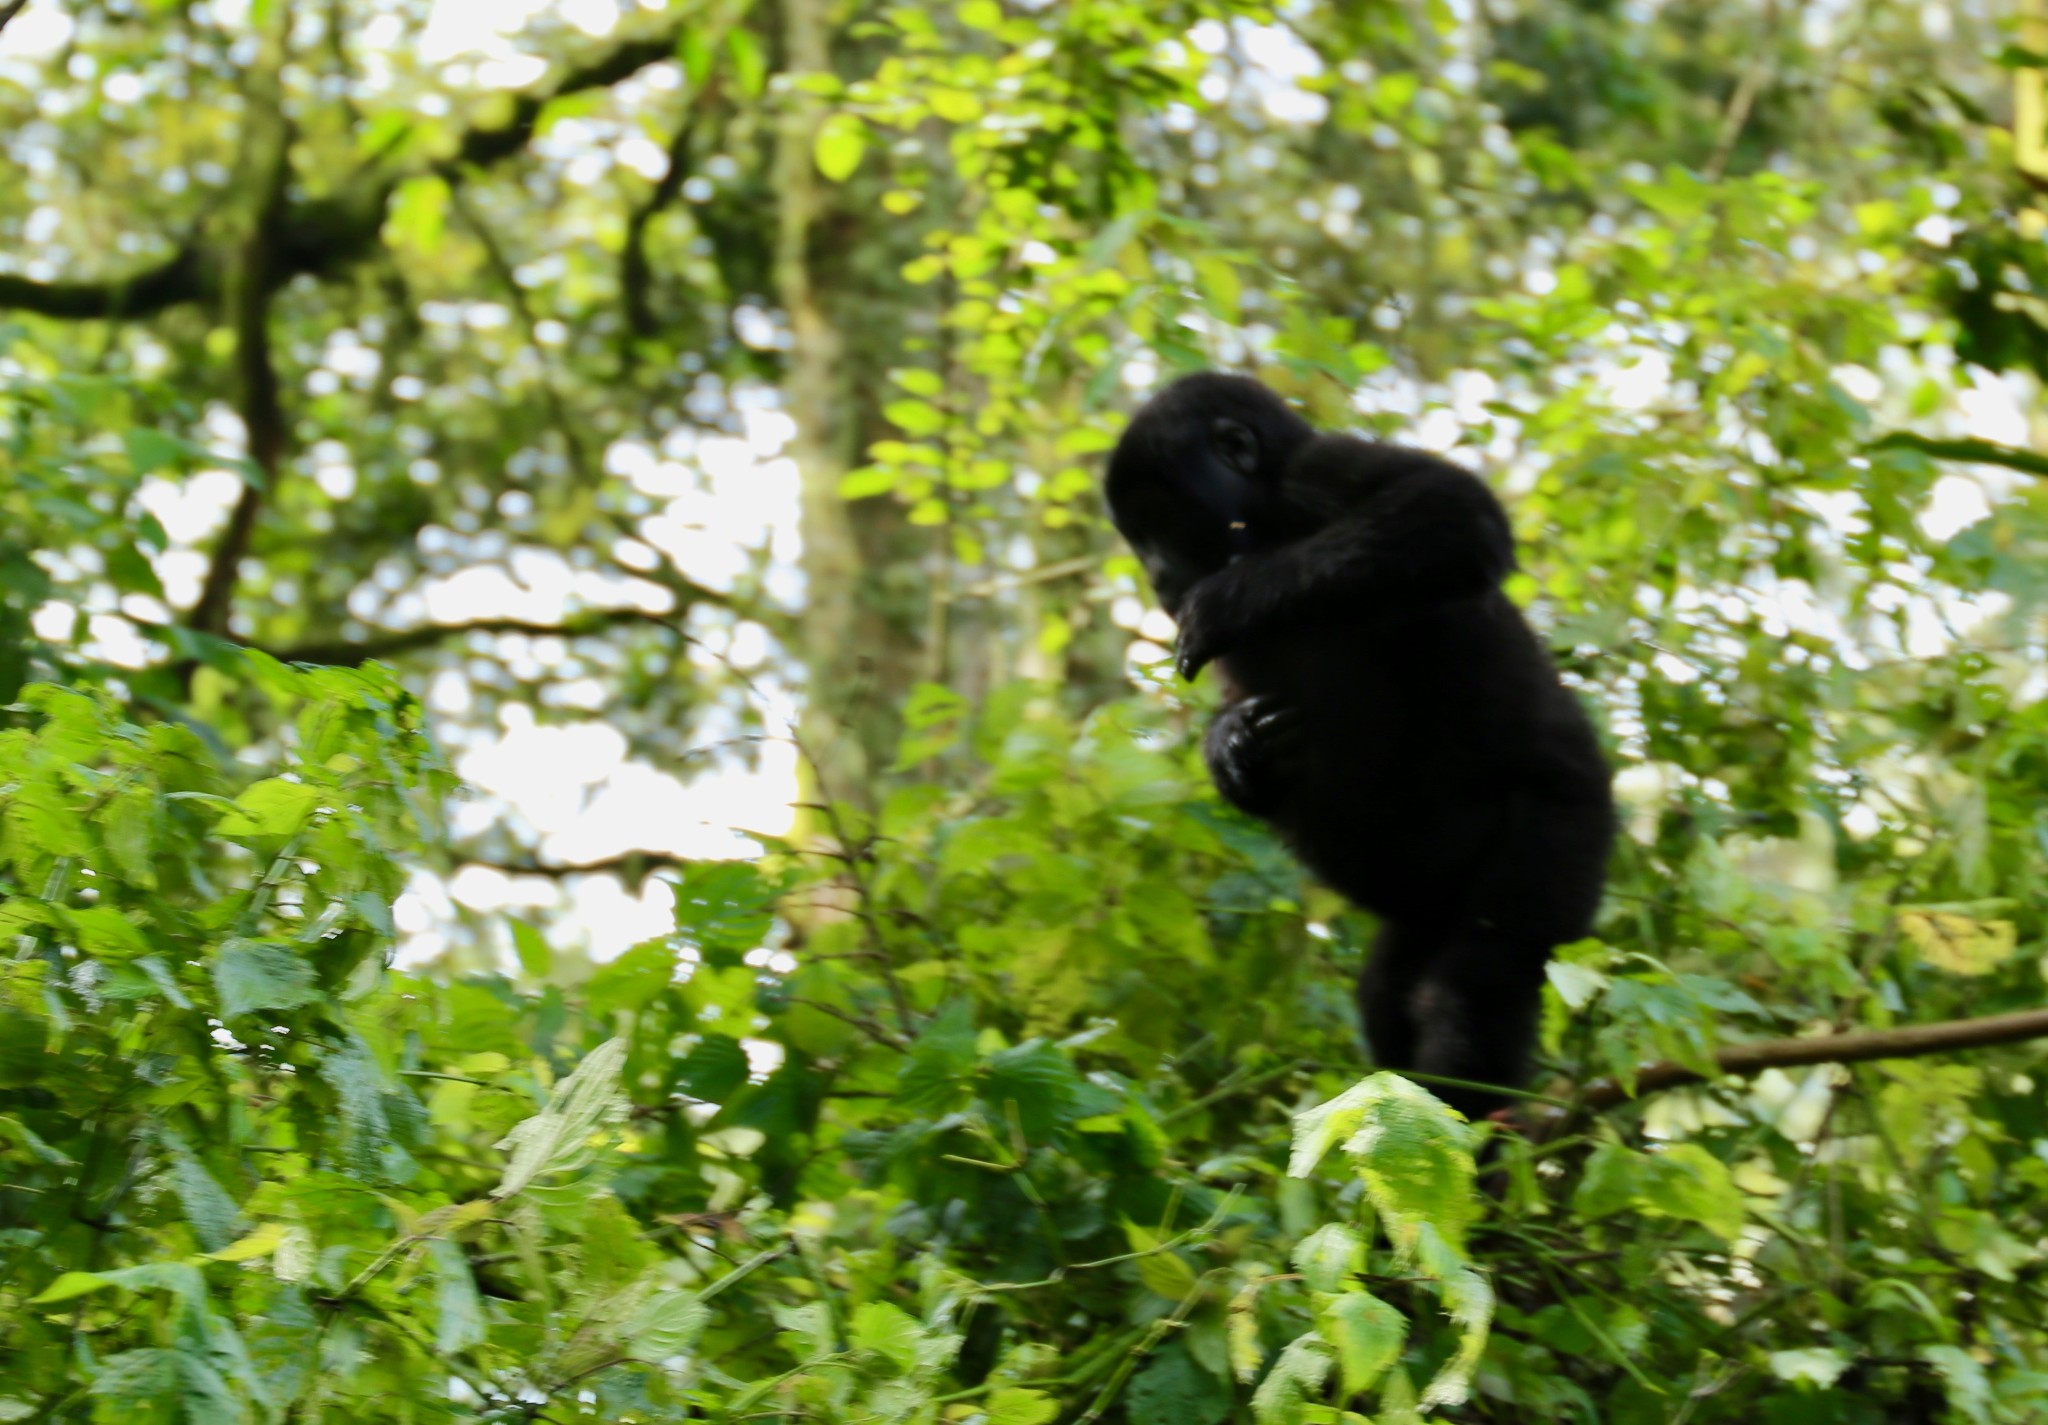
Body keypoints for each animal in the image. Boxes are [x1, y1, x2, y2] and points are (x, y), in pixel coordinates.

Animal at [1105, 372, 1613, 1121]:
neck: (1262, 515)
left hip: (1568, 824)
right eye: (1135, 535)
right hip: (1428, 897)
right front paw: (1230, 749)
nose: (1155, 574)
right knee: (1390, 989)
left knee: (1477, 983)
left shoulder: (1317, 473)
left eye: (1156, 521)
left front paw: (1233, 598)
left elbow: (1456, 513)